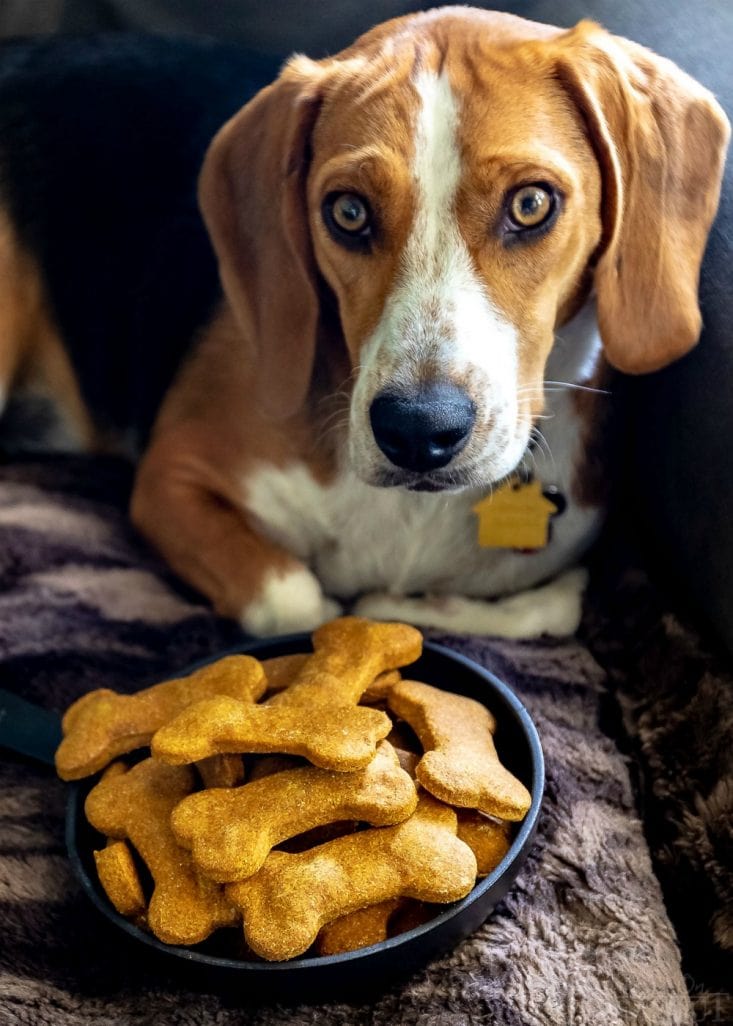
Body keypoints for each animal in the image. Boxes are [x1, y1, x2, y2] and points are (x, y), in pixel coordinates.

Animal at [0, 10, 726, 632]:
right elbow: (299, 602)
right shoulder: (169, 478)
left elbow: (545, 608)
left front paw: (405, 606)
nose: (417, 430)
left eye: (530, 204)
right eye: (347, 212)